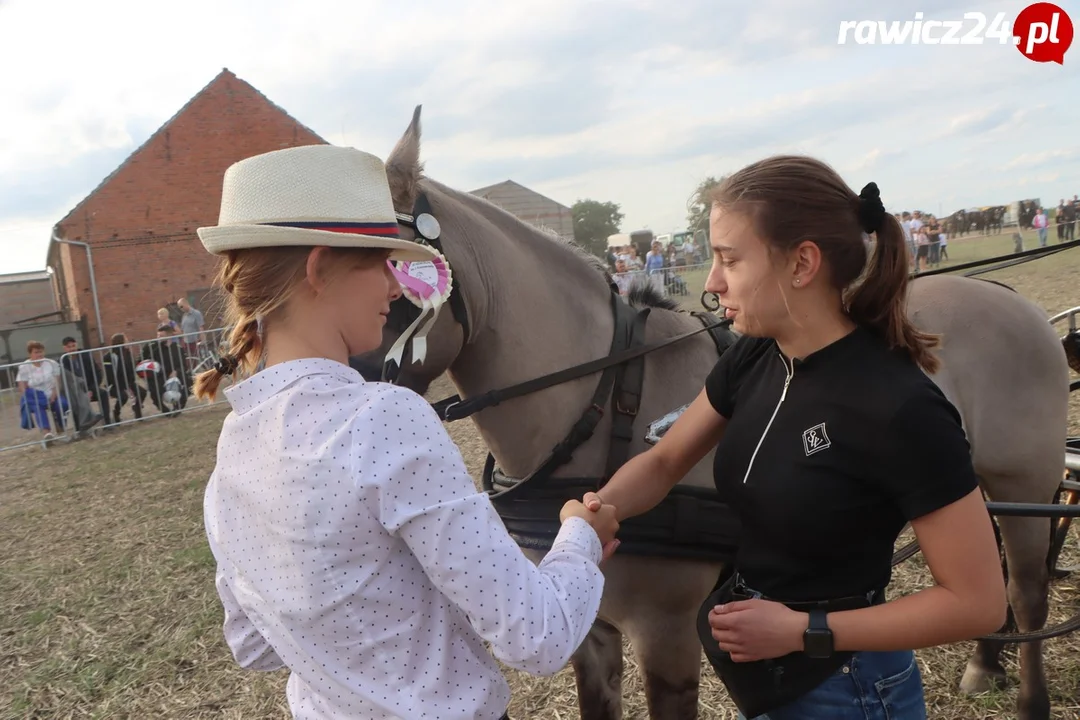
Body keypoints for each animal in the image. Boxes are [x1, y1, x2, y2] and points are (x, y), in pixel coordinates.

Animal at [352, 106, 1062, 720]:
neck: (606, 405)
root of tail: (1011, 299)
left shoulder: (667, 635)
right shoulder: (588, 627)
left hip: (1025, 485)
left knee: (1024, 594)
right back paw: (986, 662)